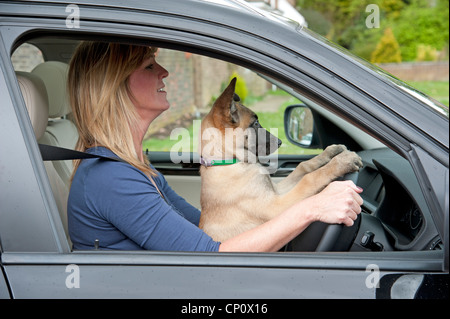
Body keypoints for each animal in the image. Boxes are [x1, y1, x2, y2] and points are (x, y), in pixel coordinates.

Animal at [199, 79, 360, 242]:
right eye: (255, 124)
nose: (280, 142)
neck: (229, 161)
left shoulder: (277, 190)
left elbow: (303, 166)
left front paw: (332, 151)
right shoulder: (277, 206)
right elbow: (309, 179)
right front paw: (343, 161)